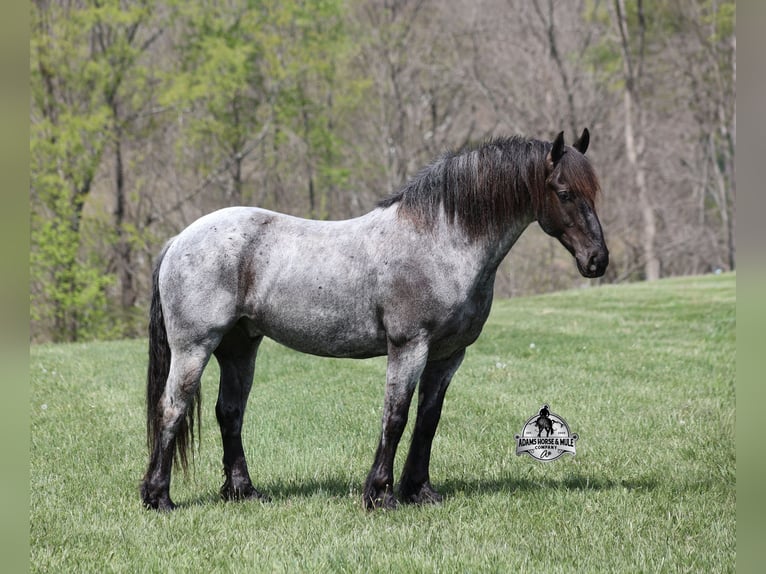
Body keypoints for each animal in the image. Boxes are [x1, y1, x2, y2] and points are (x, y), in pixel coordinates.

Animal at [140, 129, 608, 511]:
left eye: (594, 192)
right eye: (564, 192)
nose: (597, 261)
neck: (439, 242)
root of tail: (178, 239)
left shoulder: (448, 355)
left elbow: (428, 420)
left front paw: (420, 491)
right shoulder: (408, 346)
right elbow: (395, 416)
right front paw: (379, 495)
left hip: (239, 347)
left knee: (229, 413)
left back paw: (244, 492)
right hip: (195, 347)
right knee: (172, 408)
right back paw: (158, 498)